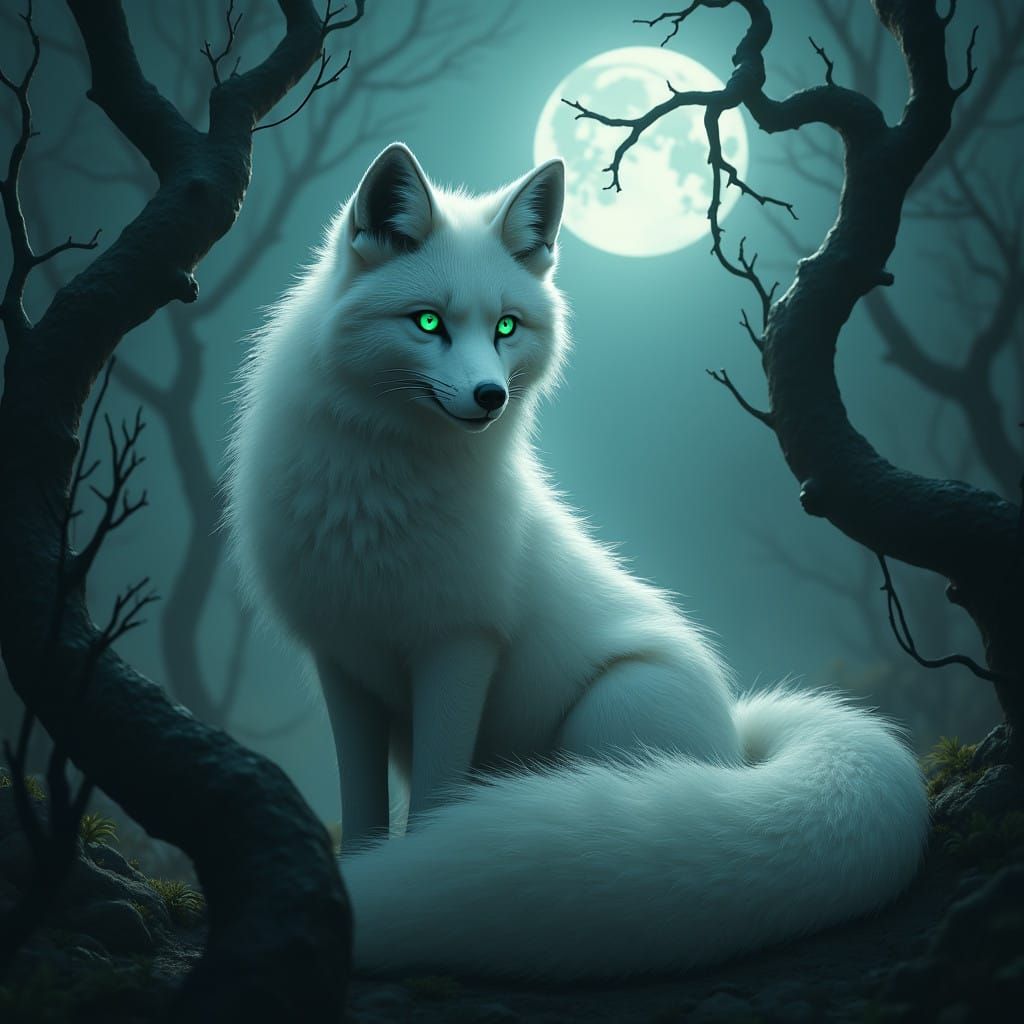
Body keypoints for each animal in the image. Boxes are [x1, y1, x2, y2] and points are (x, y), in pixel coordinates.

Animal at [225, 142, 930, 979]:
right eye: (427, 322)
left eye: (506, 326)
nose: (489, 396)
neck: (374, 499)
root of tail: (737, 737)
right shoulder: (343, 661)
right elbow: (361, 808)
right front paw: (360, 869)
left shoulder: (460, 646)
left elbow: (433, 797)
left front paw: (410, 865)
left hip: (612, 708)